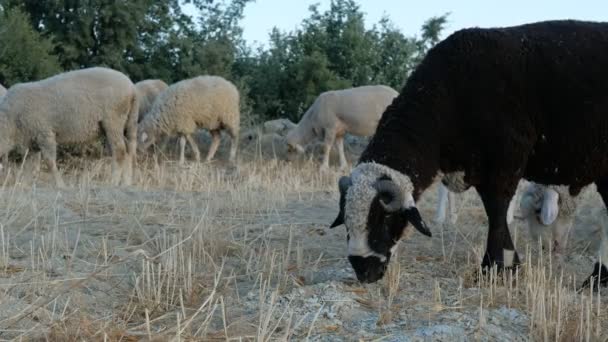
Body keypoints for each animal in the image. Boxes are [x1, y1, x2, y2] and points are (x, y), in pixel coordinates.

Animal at [0, 66, 138, 187]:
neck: (10, 121)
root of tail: (132, 88)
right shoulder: (31, 140)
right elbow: (29, 164)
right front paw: (23, 184)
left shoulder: (45, 133)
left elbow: (49, 161)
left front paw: (60, 184)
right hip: (125, 123)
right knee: (128, 150)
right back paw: (125, 183)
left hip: (113, 120)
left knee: (119, 151)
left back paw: (113, 182)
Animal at [330, 19, 608, 286]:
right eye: (345, 219)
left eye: (385, 218)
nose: (363, 270)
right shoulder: (481, 168)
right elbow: (493, 211)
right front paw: (505, 266)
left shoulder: (506, 160)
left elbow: (497, 211)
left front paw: (495, 268)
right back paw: (598, 278)